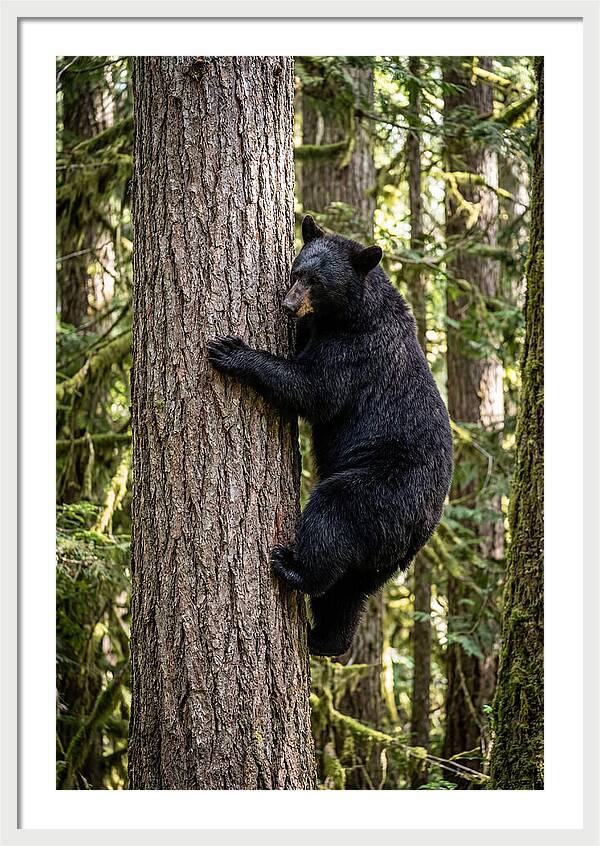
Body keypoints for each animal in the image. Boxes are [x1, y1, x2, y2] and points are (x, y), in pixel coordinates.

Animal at [207, 215, 453, 657]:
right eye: (296, 271)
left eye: (317, 282)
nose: (288, 305)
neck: (352, 313)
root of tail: (422, 527)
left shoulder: (356, 352)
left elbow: (314, 389)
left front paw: (232, 350)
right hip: (382, 555)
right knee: (349, 591)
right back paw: (326, 639)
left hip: (379, 490)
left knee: (332, 518)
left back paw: (292, 567)